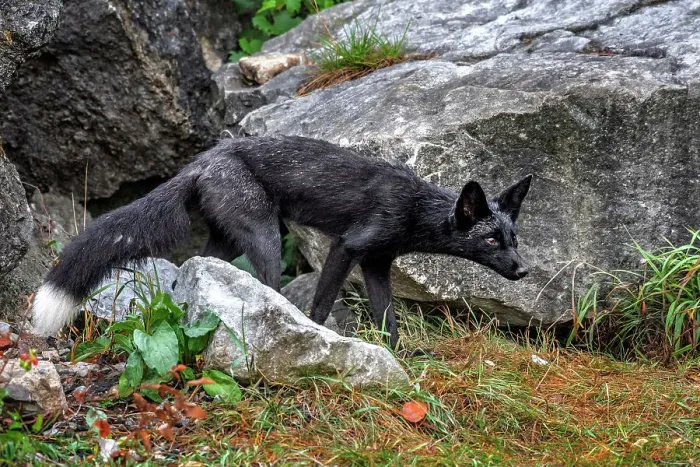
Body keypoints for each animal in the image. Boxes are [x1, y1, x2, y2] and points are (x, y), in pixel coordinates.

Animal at [32, 135, 532, 349]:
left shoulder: (377, 262)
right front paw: (319, 335)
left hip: (228, 243)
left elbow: (387, 318)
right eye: (491, 240)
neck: (412, 208)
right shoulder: (349, 246)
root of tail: (202, 161)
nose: (524, 270)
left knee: (193, 272)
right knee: (268, 287)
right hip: (266, 239)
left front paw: (401, 354)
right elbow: (322, 303)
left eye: (513, 238)